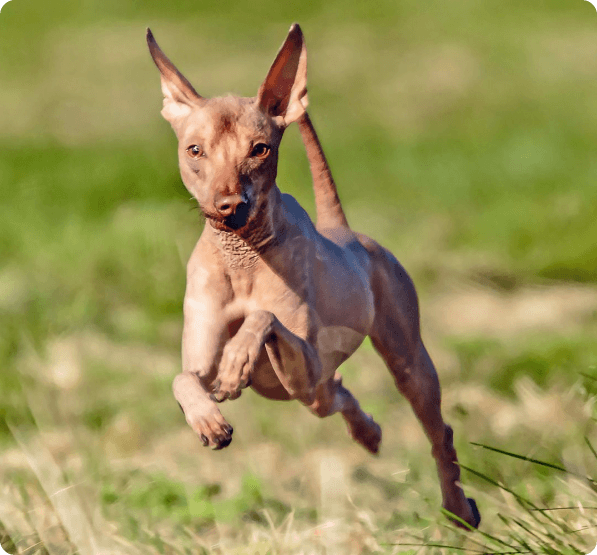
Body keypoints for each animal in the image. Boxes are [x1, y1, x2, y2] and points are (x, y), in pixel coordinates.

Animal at [147, 22, 482, 528]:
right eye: (195, 150)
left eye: (259, 149)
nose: (229, 206)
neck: (242, 257)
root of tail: (343, 231)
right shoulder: (205, 359)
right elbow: (182, 378)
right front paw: (209, 419)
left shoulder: (302, 363)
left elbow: (263, 318)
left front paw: (238, 362)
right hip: (316, 392)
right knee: (338, 392)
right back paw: (368, 433)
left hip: (402, 363)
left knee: (437, 430)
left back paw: (459, 507)